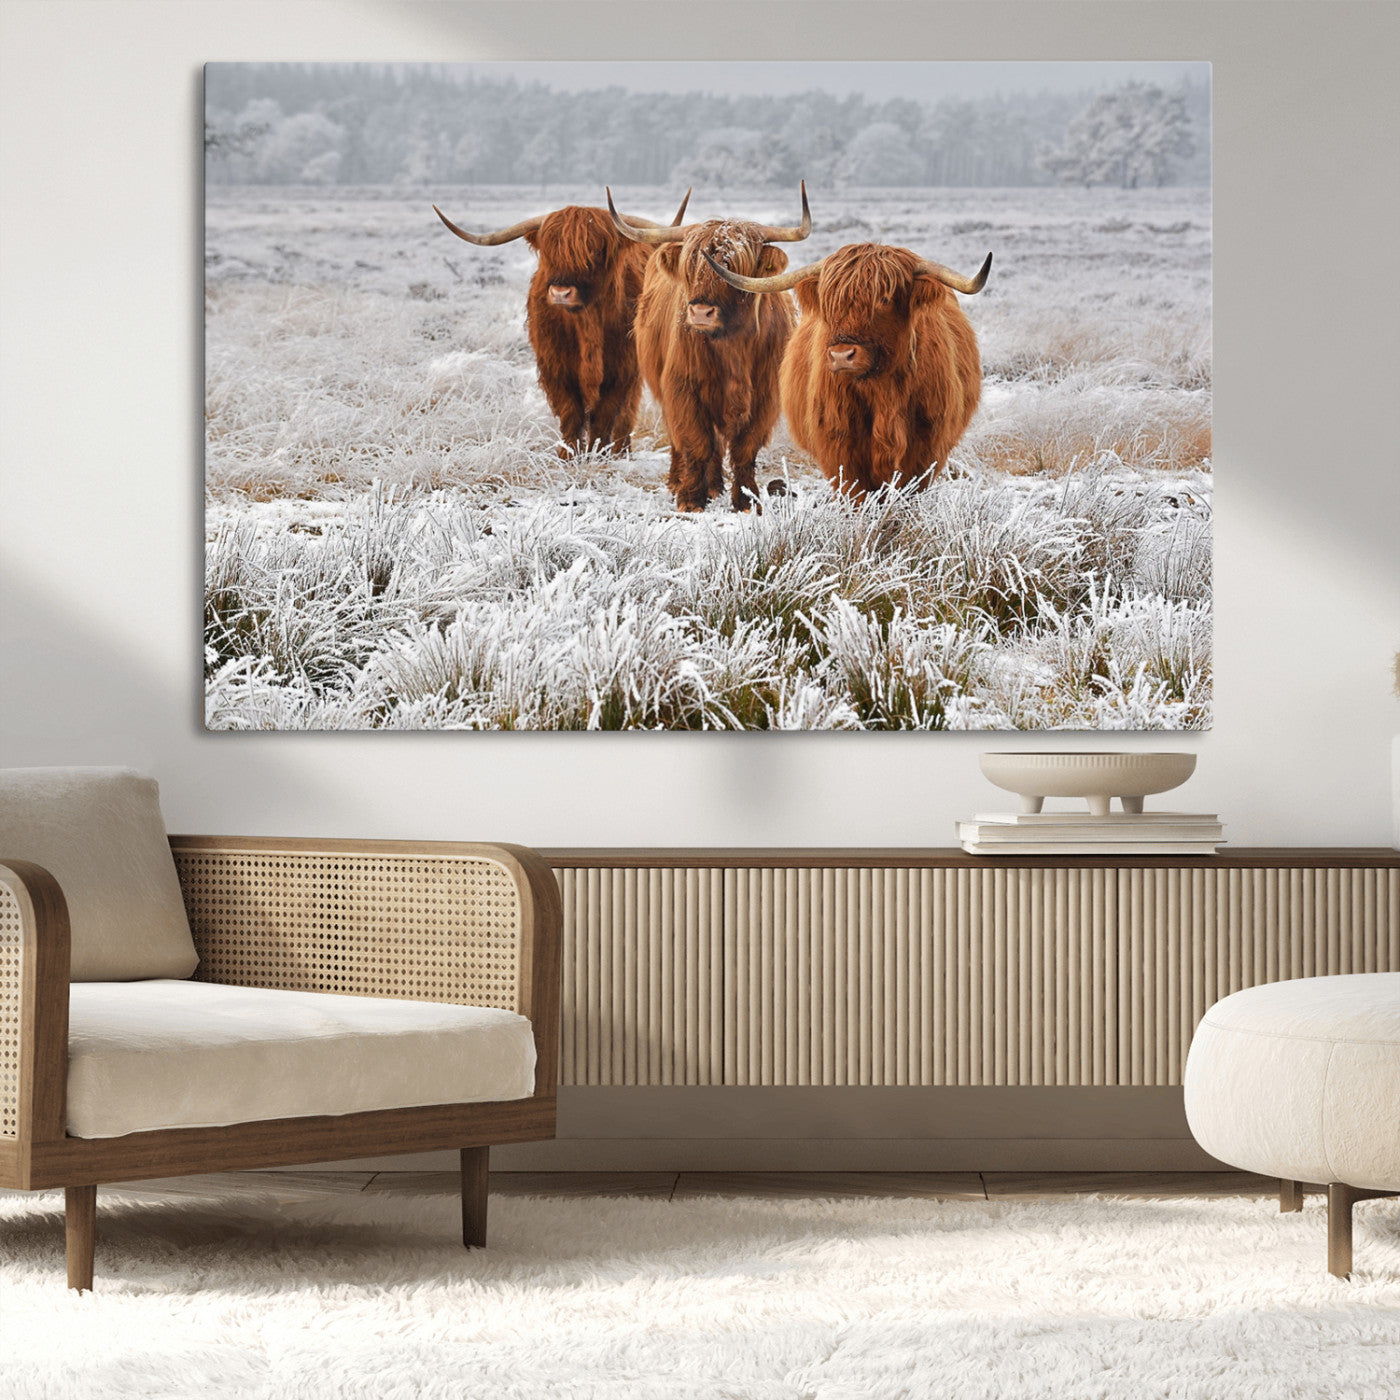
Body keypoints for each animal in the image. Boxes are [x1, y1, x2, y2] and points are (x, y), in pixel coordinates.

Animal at [433, 191, 690, 457]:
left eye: (595, 251)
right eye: (549, 252)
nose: (561, 293)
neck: (587, 324)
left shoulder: (622, 367)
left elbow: (605, 414)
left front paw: (598, 453)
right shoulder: (555, 366)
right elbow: (571, 412)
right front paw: (568, 455)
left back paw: (621, 450)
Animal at [607, 184, 812, 512]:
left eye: (733, 266)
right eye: (690, 266)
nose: (701, 312)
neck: (732, 346)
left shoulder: (765, 397)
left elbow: (744, 449)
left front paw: (747, 500)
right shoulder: (683, 389)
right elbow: (696, 443)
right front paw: (690, 499)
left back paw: (715, 486)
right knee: (686, 440)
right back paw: (681, 482)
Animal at [703, 242, 992, 499]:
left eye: (884, 298)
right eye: (829, 302)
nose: (842, 355)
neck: (883, 393)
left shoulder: (926, 449)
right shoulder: (839, 448)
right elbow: (856, 496)